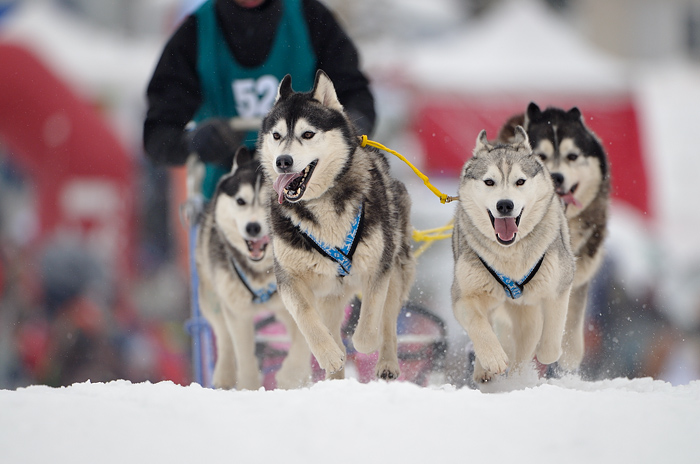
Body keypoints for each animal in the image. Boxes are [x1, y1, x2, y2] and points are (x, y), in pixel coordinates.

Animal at [194, 147, 308, 390]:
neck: (262, 275)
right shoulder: (238, 312)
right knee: (223, 334)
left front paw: (292, 375)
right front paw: (248, 385)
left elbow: (303, 342)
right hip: (214, 296)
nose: (252, 227)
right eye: (240, 201)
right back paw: (224, 374)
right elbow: (244, 354)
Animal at [258, 70, 416, 380]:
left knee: (388, 321)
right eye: (277, 135)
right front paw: (329, 354)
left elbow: (371, 319)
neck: (322, 205)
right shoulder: (289, 279)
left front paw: (365, 342)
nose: (283, 161)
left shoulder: (379, 267)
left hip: (395, 268)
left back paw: (387, 363)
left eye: (308, 134)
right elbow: (306, 318)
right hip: (329, 295)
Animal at [452, 128, 576, 384]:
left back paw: (518, 378)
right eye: (489, 181)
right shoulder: (463, 296)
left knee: (525, 346)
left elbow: (551, 342)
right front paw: (492, 358)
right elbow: (478, 324)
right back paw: (484, 370)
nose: (505, 205)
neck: (510, 256)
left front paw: (545, 355)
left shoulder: (559, 286)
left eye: (520, 181)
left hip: (526, 314)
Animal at [498, 103, 608, 372]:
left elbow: (569, 318)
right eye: (541, 156)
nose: (557, 176)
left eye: (572, 156)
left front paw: (566, 358)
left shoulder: (575, 276)